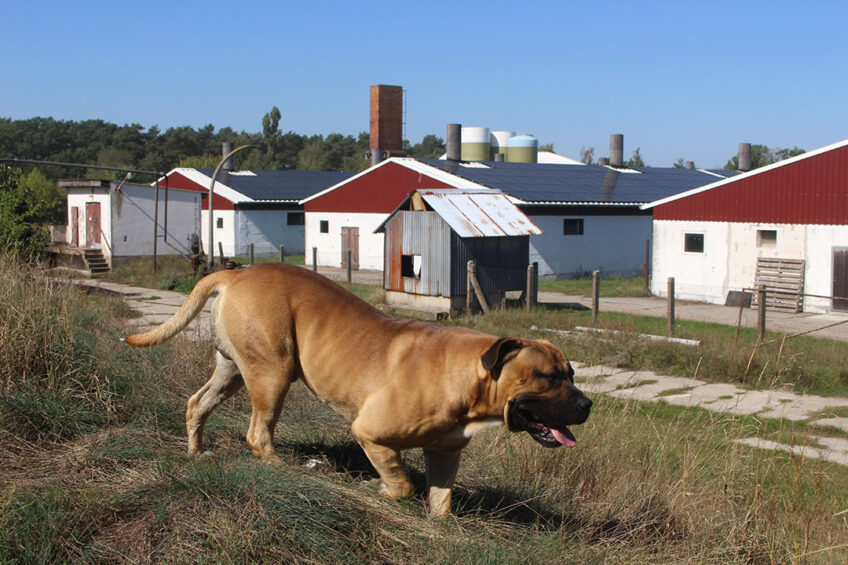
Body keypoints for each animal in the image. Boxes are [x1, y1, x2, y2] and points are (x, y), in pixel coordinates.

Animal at [126, 262, 588, 512]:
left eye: (572, 374)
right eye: (549, 377)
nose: (587, 405)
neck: (469, 378)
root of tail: (236, 273)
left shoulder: (444, 454)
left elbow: (441, 503)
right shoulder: (370, 434)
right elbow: (401, 483)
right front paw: (377, 490)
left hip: (233, 371)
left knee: (197, 404)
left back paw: (196, 452)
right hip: (272, 372)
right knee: (258, 433)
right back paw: (282, 468)